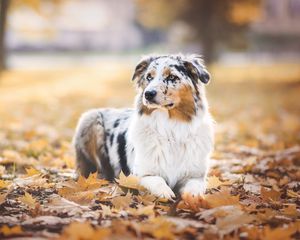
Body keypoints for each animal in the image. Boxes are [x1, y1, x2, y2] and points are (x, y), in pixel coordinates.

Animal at [73, 54, 213, 199]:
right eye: (149, 77)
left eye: (172, 77)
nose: (148, 93)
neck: (170, 129)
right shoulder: (138, 176)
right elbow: (157, 180)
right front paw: (165, 192)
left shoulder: (195, 176)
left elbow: (194, 189)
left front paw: (193, 199)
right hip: (89, 118)